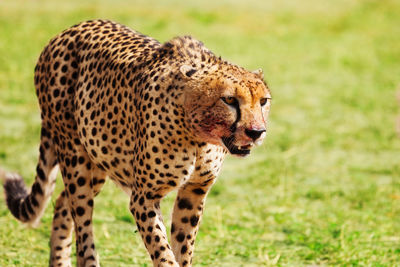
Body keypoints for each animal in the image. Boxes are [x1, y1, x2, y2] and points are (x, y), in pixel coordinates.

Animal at [0, 19, 272, 266]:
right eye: (229, 100)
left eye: (263, 101)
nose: (256, 132)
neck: (199, 138)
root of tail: (66, 31)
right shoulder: (144, 196)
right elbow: (163, 251)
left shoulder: (194, 191)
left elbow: (182, 247)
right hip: (75, 159)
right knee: (82, 226)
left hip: (98, 162)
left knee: (62, 203)